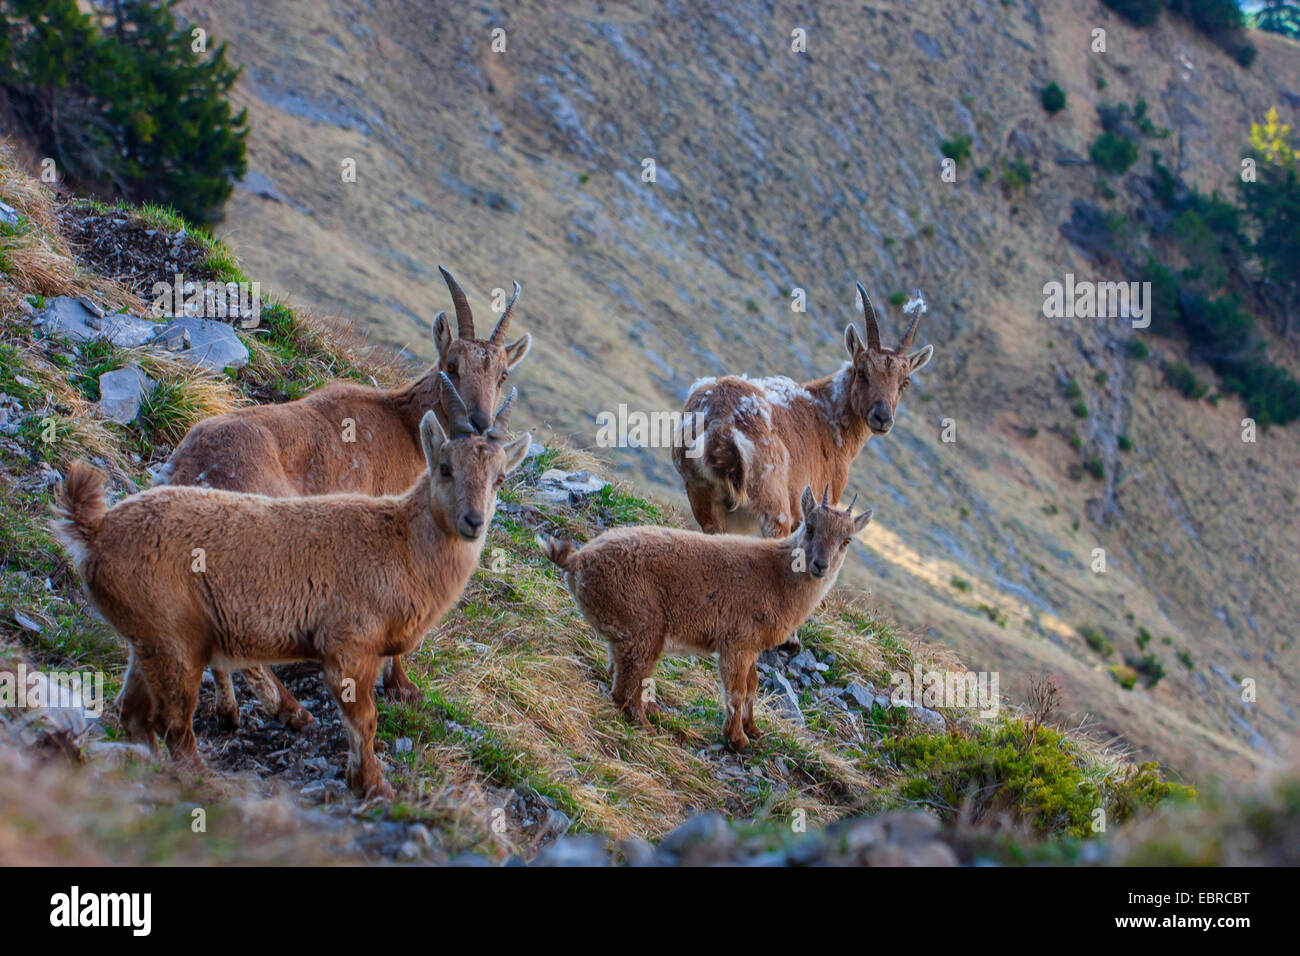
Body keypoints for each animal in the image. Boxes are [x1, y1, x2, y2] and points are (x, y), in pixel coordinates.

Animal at [54, 374, 531, 799]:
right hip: (177, 643)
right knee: (175, 728)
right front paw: (373, 786)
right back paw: (213, 777)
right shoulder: (349, 647)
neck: (402, 545)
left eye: (500, 478)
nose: (474, 521)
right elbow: (364, 721)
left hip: (150, 641)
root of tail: (95, 532)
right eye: (446, 468)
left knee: (133, 715)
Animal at [157, 267, 530, 729]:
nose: (479, 422)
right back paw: (289, 708)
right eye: (452, 365)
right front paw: (403, 686)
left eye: (502, 375)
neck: (405, 425)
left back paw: (231, 712)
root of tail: (192, 471)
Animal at [538, 486, 871, 750]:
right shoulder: (737, 643)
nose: (820, 565)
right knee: (624, 690)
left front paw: (753, 729)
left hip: (625, 632)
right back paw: (647, 727)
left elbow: (753, 684)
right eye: (810, 527)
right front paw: (737, 740)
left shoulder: (752, 648)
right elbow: (737, 689)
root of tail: (578, 560)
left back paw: (654, 712)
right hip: (643, 628)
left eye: (847, 540)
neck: (777, 578)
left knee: (619, 673)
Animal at [672, 284, 931, 538]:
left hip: (703, 499)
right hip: (774, 508)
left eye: (905, 381)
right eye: (861, 371)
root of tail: (721, 427)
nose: (882, 418)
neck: (829, 418)